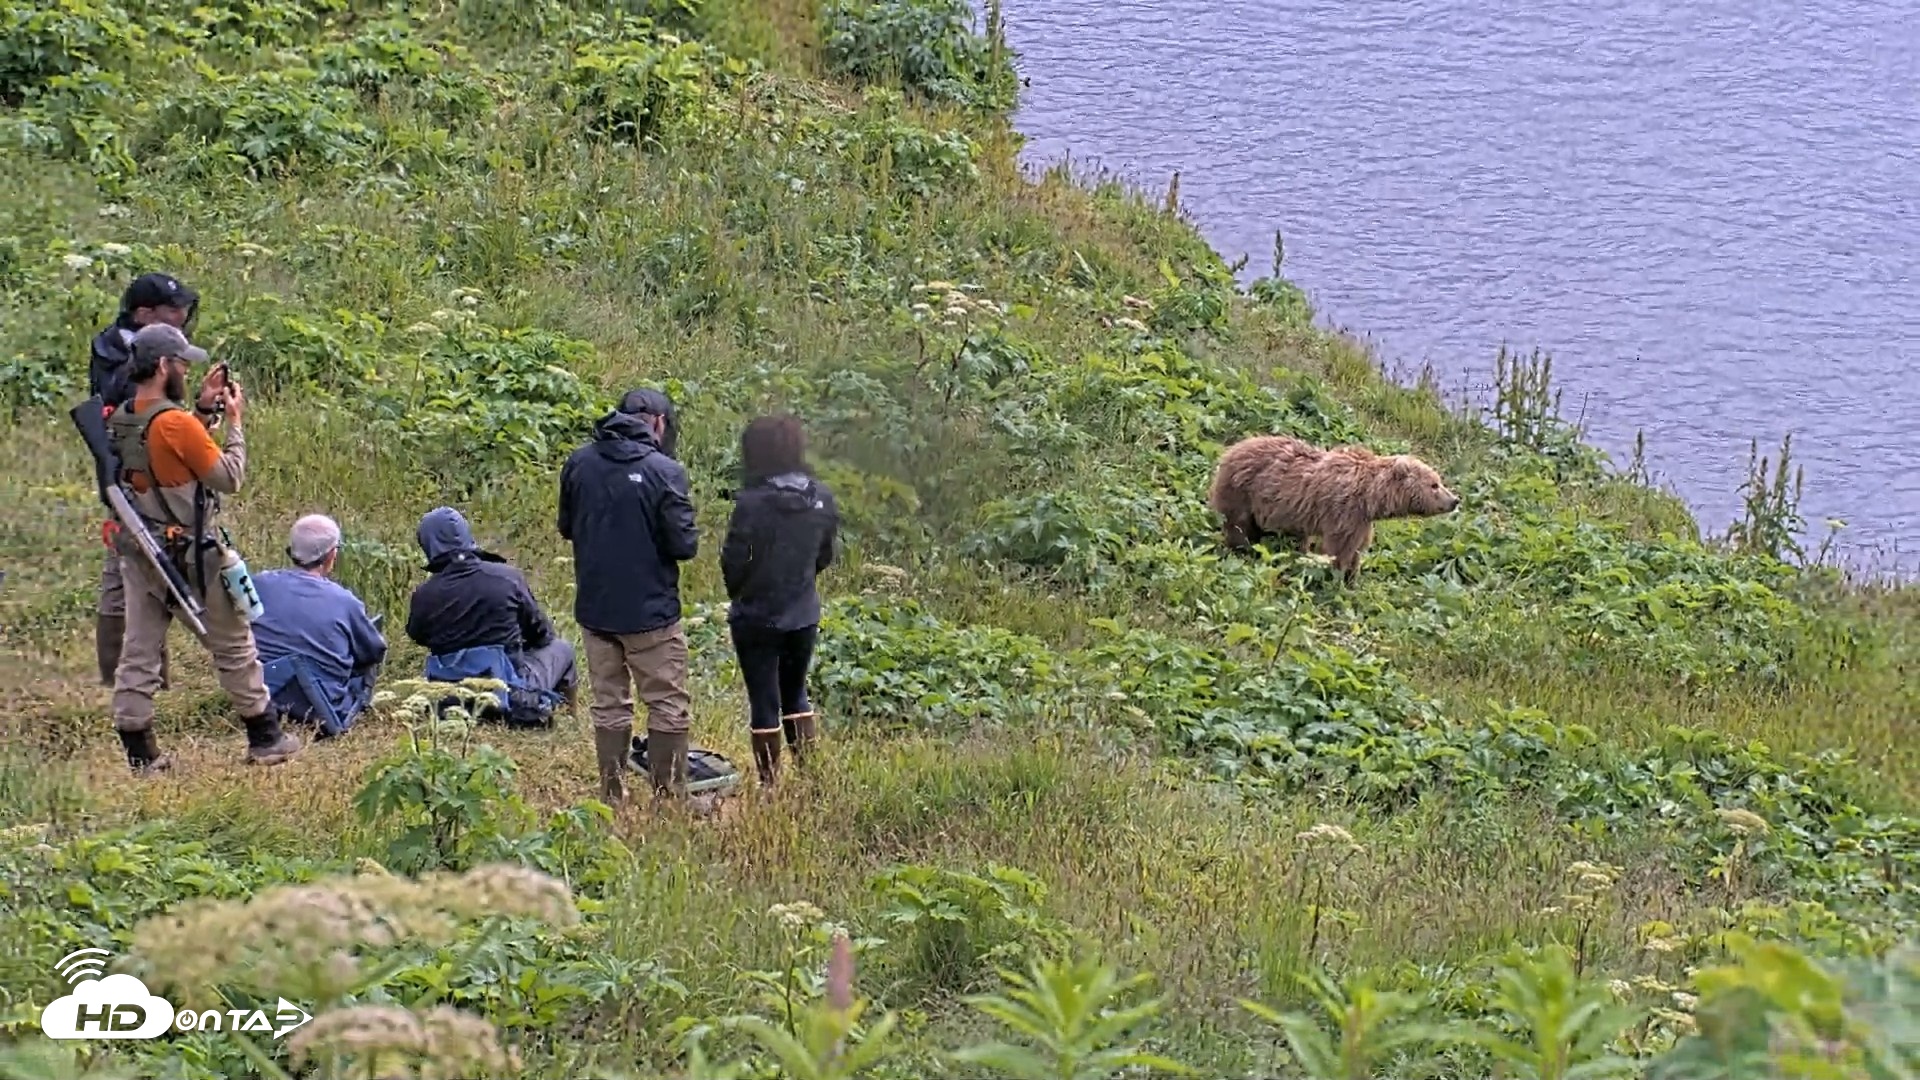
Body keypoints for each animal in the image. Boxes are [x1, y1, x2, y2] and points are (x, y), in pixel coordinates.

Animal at [1205, 434, 1460, 585]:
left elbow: (1357, 549)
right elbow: (1338, 549)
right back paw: (1242, 549)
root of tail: (1230, 450)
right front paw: (1336, 578)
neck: (1371, 497)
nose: (1455, 500)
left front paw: (1353, 578)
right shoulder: (1344, 512)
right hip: (1243, 492)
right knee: (1238, 526)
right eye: (1435, 484)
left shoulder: (1362, 521)